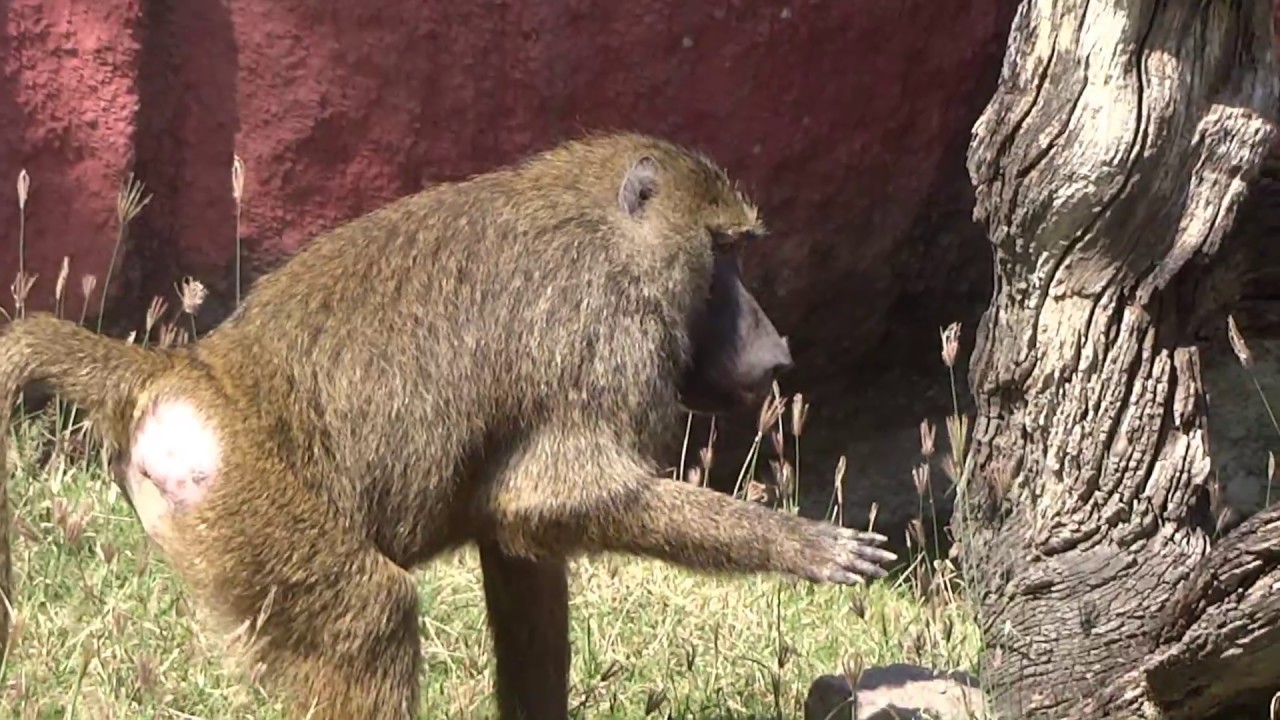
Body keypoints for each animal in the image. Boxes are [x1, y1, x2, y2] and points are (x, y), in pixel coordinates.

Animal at [0, 132, 897, 720]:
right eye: (726, 253)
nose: (776, 350)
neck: (604, 227)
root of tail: (182, 375)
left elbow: (521, 540)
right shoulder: (607, 331)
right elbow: (546, 498)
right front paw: (806, 546)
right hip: (254, 502)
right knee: (370, 614)